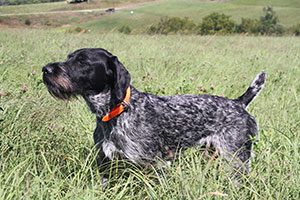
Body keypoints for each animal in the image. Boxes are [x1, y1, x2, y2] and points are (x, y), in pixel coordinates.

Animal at [41, 48, 264, 181]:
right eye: (68, 58)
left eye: (82, 62)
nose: (45, 69)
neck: (114, 112)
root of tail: (238, 103)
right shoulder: (105, 163)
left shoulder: (155, 164)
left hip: (236, 159)